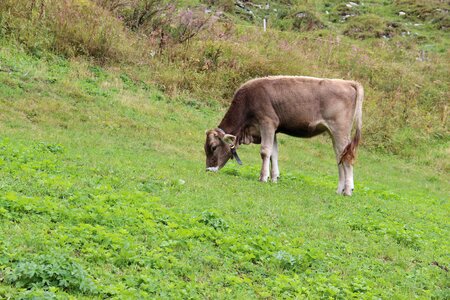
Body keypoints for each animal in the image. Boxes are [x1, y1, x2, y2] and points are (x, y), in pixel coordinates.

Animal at [204, 76, 362, 196]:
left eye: (213, 147)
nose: (208, 169)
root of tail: (348, 82)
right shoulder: (273, 129)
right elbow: (273, 153)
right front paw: (274, 178)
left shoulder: (267, 122)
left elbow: (265, 151)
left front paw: (263, 177)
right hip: (334, 133)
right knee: (340, 157)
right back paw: (339, 190)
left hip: (340, 131)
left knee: (347, 158)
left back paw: (348, 191)